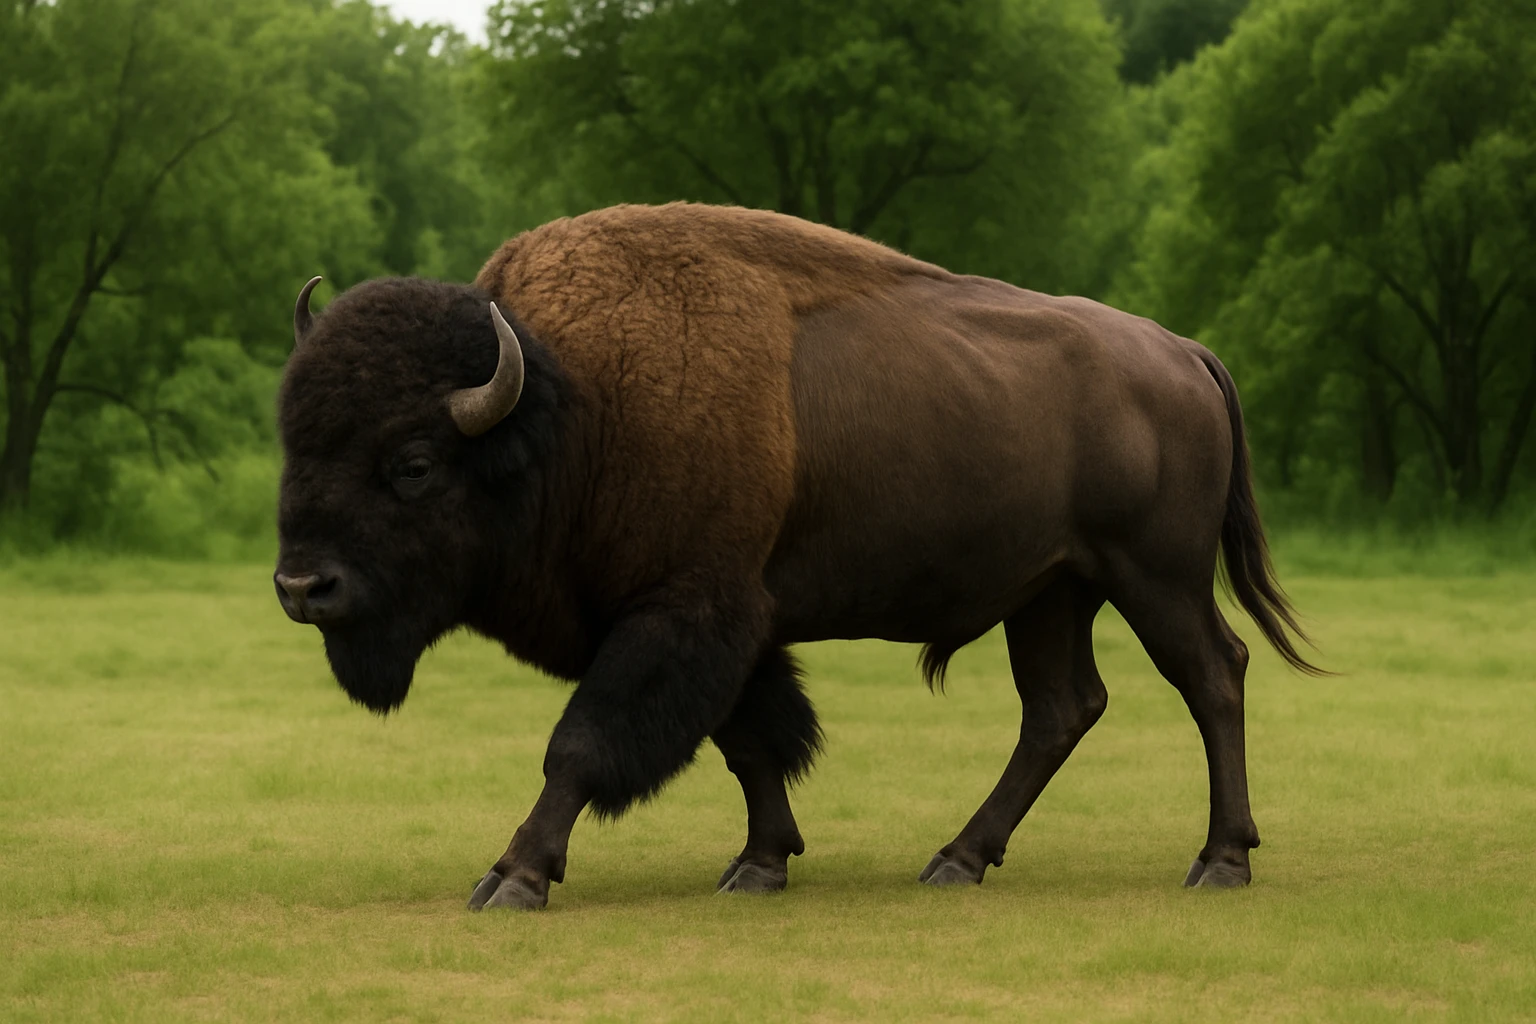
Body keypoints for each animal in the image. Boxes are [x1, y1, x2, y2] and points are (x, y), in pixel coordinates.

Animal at [274, 203, 1319, 911]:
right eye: (294, 441)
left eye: (412, 465)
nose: (300, 586)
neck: (567, 408)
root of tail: (1180, 352)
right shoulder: (729, 627)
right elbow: (751, 741)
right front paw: (760, 863)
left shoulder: (680, 614)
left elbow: (584, 744)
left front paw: (513, 875)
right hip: (1051, 593)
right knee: (1061, 710)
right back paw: (957, 860)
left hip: (1154, 578)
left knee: (1212, 676)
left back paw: (1219, 861)